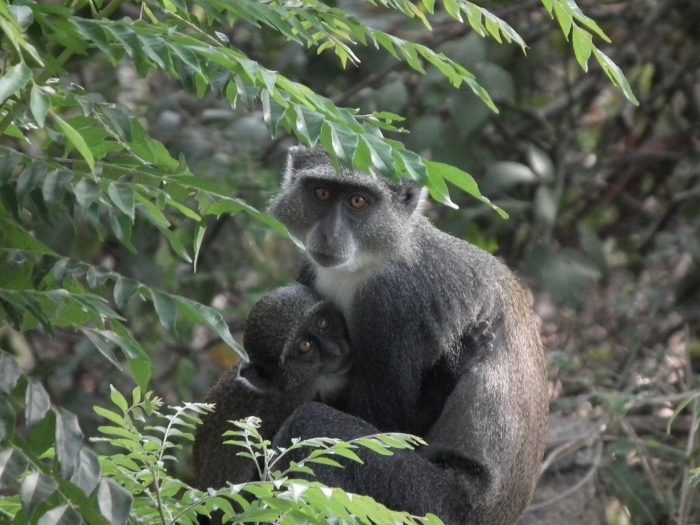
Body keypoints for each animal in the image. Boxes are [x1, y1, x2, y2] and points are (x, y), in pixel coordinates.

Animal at [266, 145, 548, 520]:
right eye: (322, 193)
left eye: (359, 201)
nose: (329, 235)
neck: (373, 259)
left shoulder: (394, 307)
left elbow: (392, 425)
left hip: (429, 503)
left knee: (312, 423)